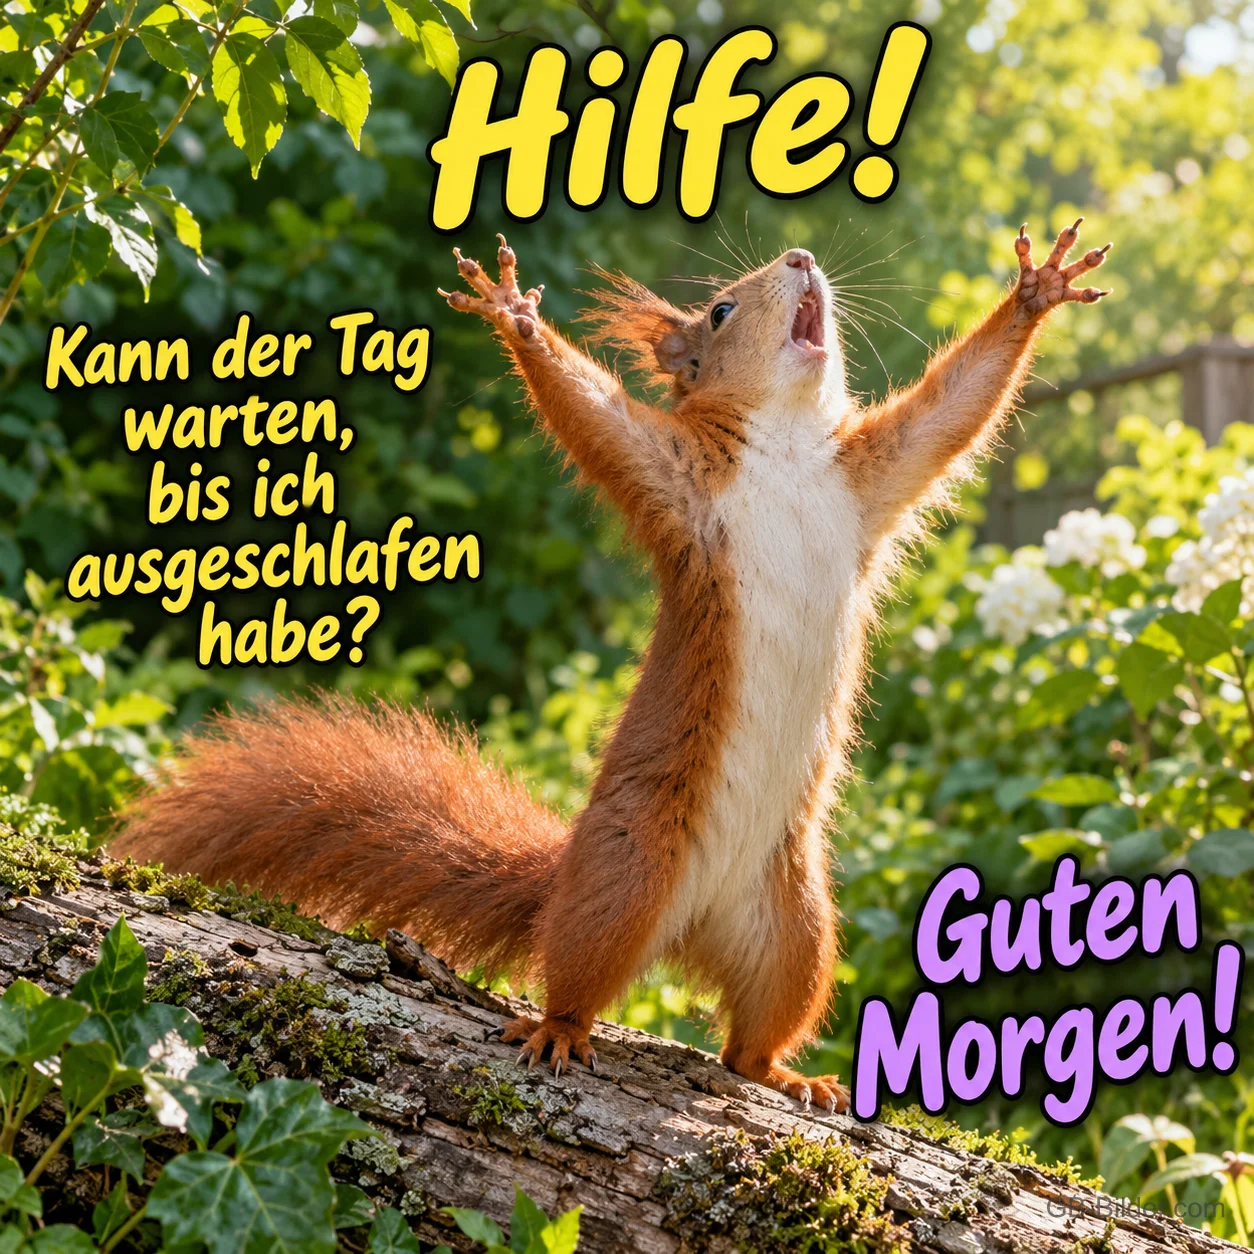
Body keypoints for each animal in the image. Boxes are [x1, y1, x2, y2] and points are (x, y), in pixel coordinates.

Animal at [116, 219, 1111, 1114]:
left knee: (749, 1041)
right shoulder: (674, 478)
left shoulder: (870, 474)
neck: (789, 446)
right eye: (720, 310)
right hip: (626, 873)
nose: (800, 257)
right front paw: (514, 314)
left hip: (795, 926)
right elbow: (594, 415)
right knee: (580, 971)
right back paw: (560, 1029)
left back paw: (785, 1074)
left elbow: (950, 409)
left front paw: (1036, 291)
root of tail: (685, 927)